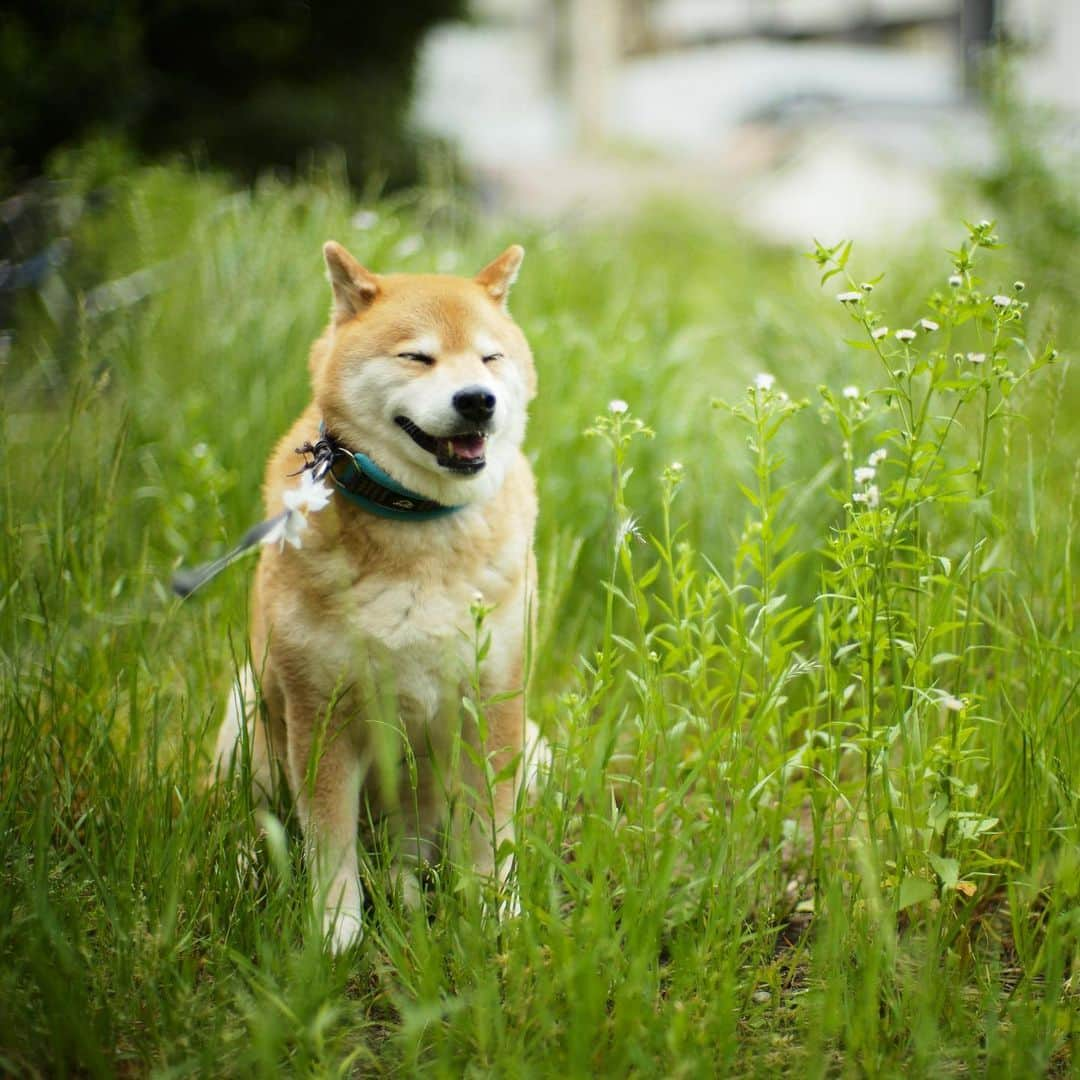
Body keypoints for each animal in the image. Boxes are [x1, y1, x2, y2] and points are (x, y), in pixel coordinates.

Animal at [214, 240, 540, 950]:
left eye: (490, 357)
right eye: (417, 356)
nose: (478, 400)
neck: (417, 524)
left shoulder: (492, 707)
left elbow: (491, 834)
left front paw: (496, 912)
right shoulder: (320, 715)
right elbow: (328, 839)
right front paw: (334, 929)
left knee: (413, 851)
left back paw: (407, 888)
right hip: (249, 711)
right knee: (256, 817)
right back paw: (252, 865)